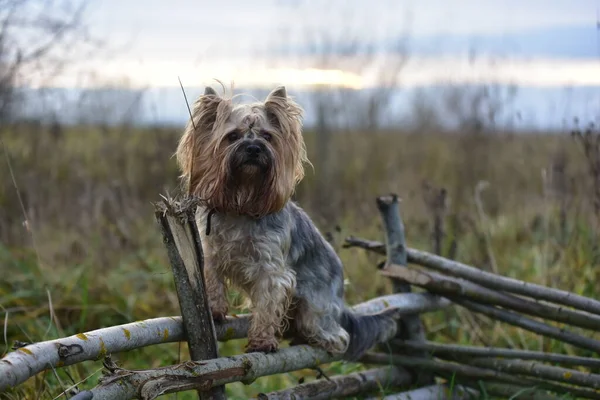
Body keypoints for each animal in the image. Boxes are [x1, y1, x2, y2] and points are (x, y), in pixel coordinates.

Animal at [173, 84, 398, 360]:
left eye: (267, 137)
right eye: (233, 136)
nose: (254, 148)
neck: (242, 202)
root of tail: (342, 300)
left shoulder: (271, 270)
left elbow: (268, 306)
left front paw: (262, 341)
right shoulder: (211, 252)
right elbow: (213, 281)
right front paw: (215, 311)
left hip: (317, 307)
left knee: (336, 335)